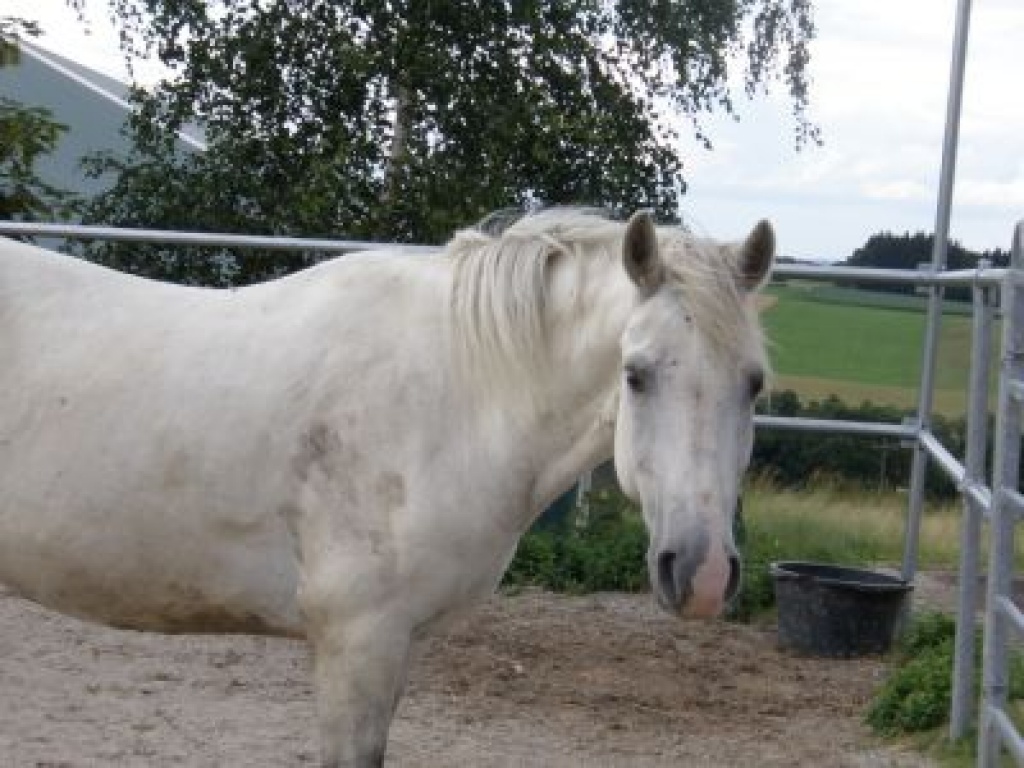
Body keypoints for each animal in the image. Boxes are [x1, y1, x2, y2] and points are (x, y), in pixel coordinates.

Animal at [0, 209, 774, 767]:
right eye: (636, 374)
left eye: (754, 383)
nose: (704, 574)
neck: (455, 393)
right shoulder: (358, 644)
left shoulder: (401, 644)